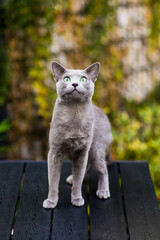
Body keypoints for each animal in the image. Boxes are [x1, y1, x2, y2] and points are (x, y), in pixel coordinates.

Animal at [42, 62, 112, 208]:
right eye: (67, 79)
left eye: (83, 79)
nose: (74, 84)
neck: (74, 113)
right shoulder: (54, 152)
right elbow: (53, 181)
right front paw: (51, 201)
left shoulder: (82, 151)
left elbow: (79, 180)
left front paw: (77, 199)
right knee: (87, 166)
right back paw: (71, 178)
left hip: (96, 149)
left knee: (103, 169)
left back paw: (103, 191)